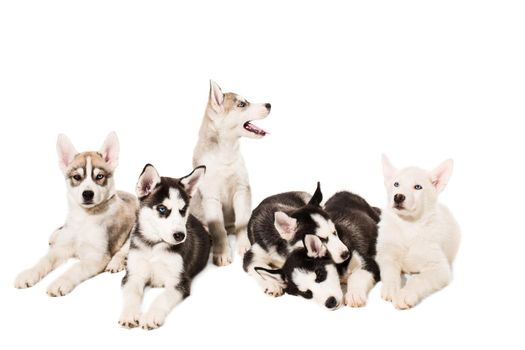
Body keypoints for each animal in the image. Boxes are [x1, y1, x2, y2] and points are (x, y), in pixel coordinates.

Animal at [14, 133, 138, 296]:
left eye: (99, 176)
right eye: (77, 177)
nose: (88, 194)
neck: (84, 218)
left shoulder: (97, 256)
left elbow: (76, 267)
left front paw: (60, 282)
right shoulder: (62, 248)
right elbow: (44, 260)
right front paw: (28, 274)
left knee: (124, 250)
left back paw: (116, 263)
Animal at [118, 164, 209, 330]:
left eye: (182, 210)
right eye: (162, 208)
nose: (180, 235)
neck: (154, 245)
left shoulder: (179, 282)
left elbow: (162, 298)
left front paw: (151, 316)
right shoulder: (133, 275)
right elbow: (131, 295)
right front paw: (129, 314)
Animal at [190, 80, 270, 266]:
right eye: (242, 104)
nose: (269, 105)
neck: (225, 154)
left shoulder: (242, 190)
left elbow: (242, 222)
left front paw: (244, 245)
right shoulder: (211, 199)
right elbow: (218, 229)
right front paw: (221, 253)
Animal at [374, 156, 460, 308]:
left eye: (418, 187)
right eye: (396, 184)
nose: (398, 196)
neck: (408, 225)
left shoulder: (440, 269)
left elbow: (419, 280)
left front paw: (405, 294)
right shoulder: (386, 254)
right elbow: (389, 271)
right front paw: (391, 288)